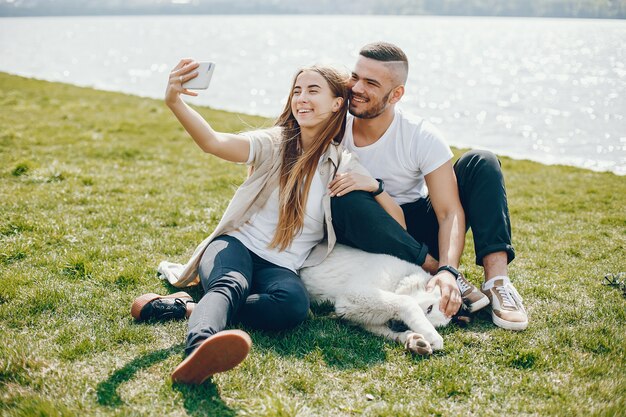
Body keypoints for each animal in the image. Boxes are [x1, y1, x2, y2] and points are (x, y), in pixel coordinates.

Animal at [298, 244, 454, 354]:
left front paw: (413, 340)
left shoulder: (358, 314)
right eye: (429, 308)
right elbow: (405, 301)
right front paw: (432, 336)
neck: (400, 279)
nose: (398, 325)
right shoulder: (352, 294)